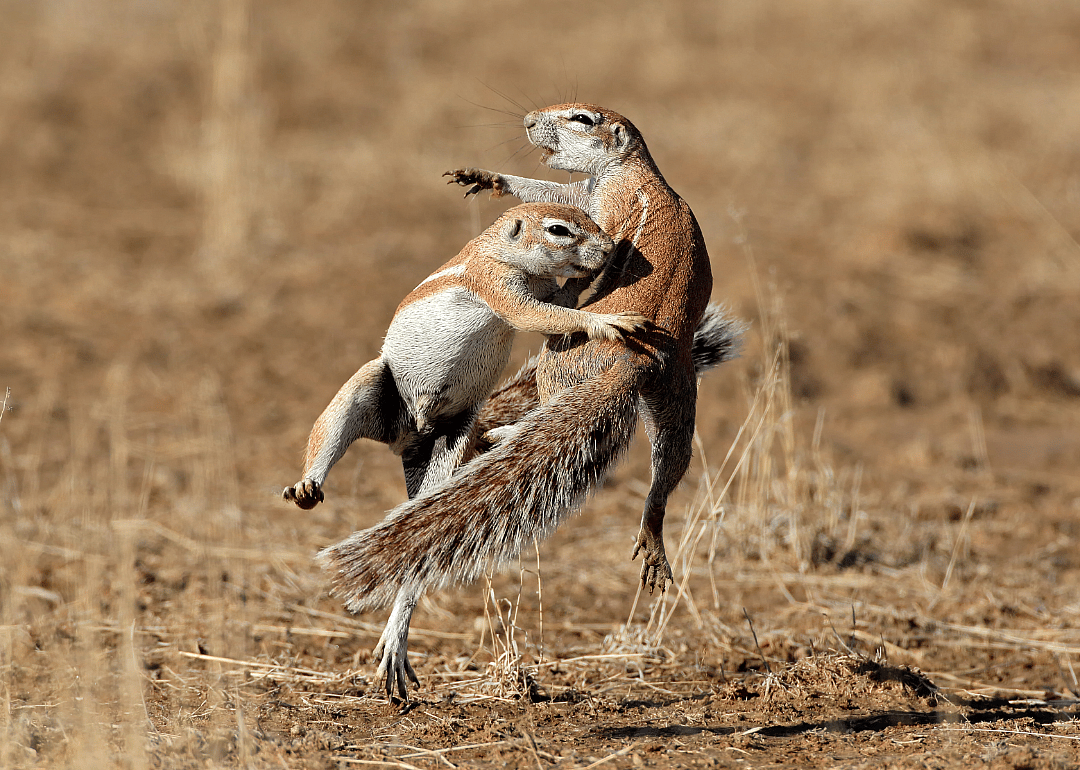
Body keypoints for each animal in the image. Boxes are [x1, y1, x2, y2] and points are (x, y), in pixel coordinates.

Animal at [316, 103, 745, 701]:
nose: (527, 121)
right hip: (677, 400)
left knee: (539, 403)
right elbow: (549, 194)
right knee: (668, 468)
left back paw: (502, 433)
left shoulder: (596, 205)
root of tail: (636, 363)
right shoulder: (575, 204)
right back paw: (652, 535)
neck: (638, 171)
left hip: (552, 364)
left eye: (582, 117)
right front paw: (489, 178)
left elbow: (571, 225)